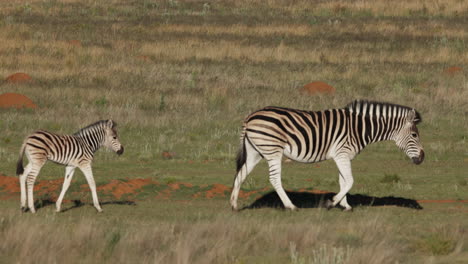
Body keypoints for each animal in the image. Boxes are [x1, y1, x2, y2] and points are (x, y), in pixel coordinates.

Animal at [230, 100, 424, 211]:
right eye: (415, 135)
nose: (422, 158)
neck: (360, 128)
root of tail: (250, 117)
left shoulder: (341, 156)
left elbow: (343, 181)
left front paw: (345, 205)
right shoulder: (342, 154)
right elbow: (350, 181)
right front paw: (332, 203)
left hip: (255, 151)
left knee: (241, 174)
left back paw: (233, 205)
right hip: (273, 150)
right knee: (274, 178)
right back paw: (290, 206)